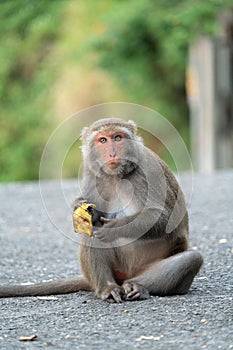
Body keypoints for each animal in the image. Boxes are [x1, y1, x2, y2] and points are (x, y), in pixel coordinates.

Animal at [0, 117, 202, 300]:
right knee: (91, 231)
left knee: (192, 259)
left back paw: (137, 286)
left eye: (118, 137)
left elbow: (162, 219)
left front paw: (113, 228)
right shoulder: (92, 175)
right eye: (103, 140)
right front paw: (79, 207)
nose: (112, 153)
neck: (116, 176)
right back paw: (108, 288)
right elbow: (90, 217)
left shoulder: (149, 171)